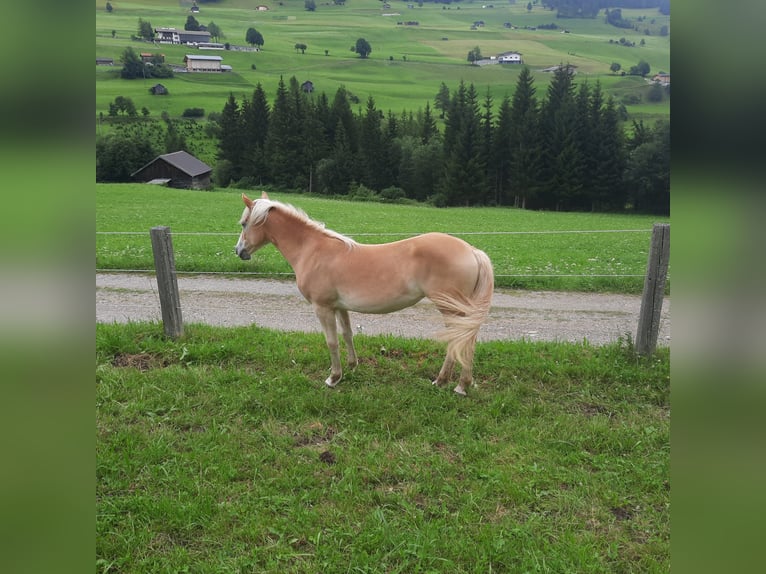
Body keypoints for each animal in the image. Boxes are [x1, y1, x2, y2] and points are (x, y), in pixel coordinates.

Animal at [236, 192, 498, 396]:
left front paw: (333, 378)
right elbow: (347, 334)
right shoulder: (339, 307)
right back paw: (455, 383)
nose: (239, 251)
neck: (313, 250)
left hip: (451, 307)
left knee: (460, 341)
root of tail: (472, 250)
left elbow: (331, 341)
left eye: (243, 223)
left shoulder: (322, 307)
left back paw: (451, 384)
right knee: (465, 341)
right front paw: (352, 366)